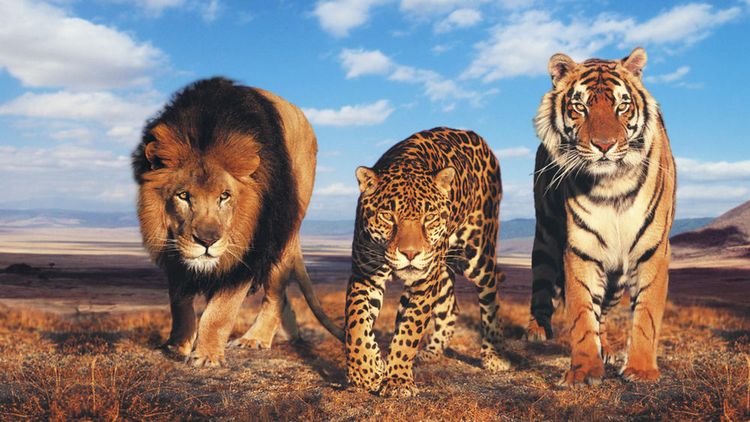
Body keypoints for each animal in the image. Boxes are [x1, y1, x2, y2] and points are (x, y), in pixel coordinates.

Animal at [131, 77, 344, 367]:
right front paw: (177, 345)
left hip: (286, 226)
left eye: (224, 196)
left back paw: (255, 338)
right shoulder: (174, 250)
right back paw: (290, 332)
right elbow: (179, 303)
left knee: (275, 293)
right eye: (183, 195)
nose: (207, 241)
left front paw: (207, 356)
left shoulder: (249, 250)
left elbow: (220, 312)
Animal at [345, 127, 509, 398]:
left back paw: (494, 357)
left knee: (491, 297)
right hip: (441, 269)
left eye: (429, 217)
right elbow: (357, 322)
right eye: (388, 216)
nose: (410, 254)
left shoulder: (423, 282)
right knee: (450, 307)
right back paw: (430, 352)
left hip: (477, 254)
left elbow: (409, 330)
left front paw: (397, 381)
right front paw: (366, 371)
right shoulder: (364, 275)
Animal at [525, 47, 676, 386]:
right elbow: (582, 313)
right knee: (542, 282)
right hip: (545, 236)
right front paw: (583, 371)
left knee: (604, 312)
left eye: (622, 106)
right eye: (580, 107)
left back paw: (606, 348)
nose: (604, 146)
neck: (612, 185)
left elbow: (646, 313)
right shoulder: (581, 249)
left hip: (617, 277)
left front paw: (641, 370)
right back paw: (536, 330)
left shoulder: (652, 249)